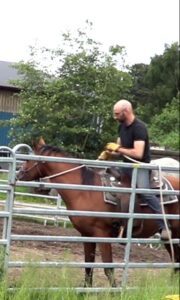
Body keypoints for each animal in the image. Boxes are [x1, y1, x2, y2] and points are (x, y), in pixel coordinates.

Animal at [16, 140, 179, 286]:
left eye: (28, 159)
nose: (18, 175)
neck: (85, 191)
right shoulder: (87, 235)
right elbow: (88, 267)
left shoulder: (102, 235)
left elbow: (108, 269)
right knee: (175, 261)